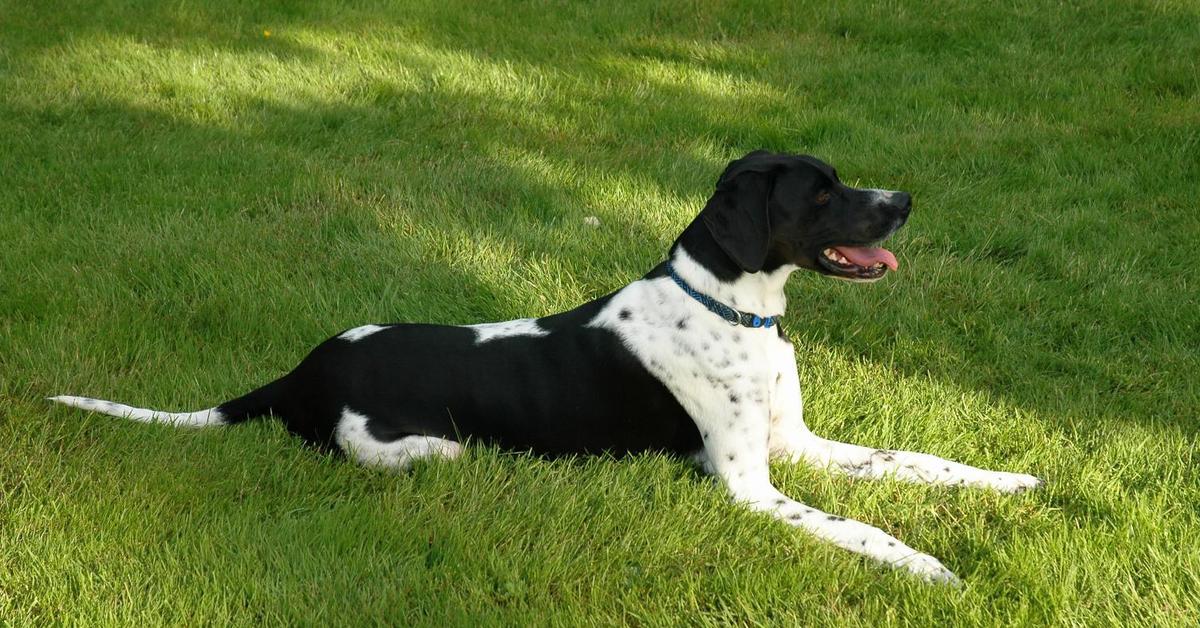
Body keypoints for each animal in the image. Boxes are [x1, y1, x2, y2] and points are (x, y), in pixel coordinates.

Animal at [49, 151, 1041, 585]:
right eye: (824, 193)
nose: (905, 200)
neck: (735, 308)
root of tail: (300, 373)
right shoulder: (751, 486)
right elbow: (859, 528)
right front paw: (928, 565)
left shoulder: (794, 445)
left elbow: (919, 461)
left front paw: (1011, 482)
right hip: (418, 449)